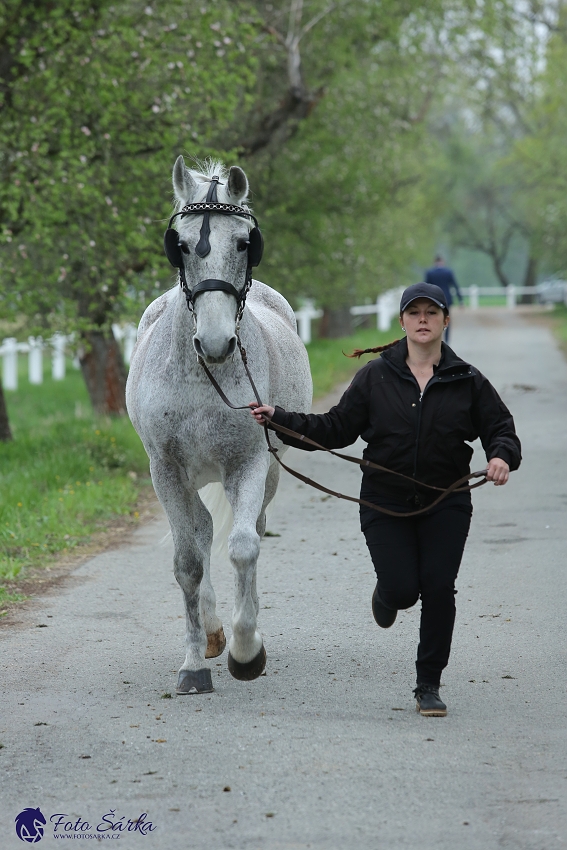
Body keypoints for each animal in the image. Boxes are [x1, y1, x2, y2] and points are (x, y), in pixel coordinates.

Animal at [126, 156, 312, 692]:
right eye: (181, 244)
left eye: (245, 242)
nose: (215, 343)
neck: (203, 376)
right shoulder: (165, 471)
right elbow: (188, 562)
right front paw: (193, 665)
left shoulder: (248, 463)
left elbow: (245, 547)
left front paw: (247, 651)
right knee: (203, 531)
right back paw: (210, 632)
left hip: (269, 471)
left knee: (252, 530)